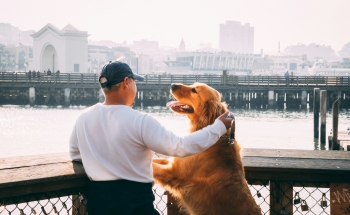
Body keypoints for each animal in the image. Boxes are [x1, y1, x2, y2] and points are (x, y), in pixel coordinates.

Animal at [152, 82, 262, 215]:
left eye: (194, 90)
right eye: (193, 84)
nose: (172, 85)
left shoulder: (172, 172)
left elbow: (152, 167)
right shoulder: (172, 162)